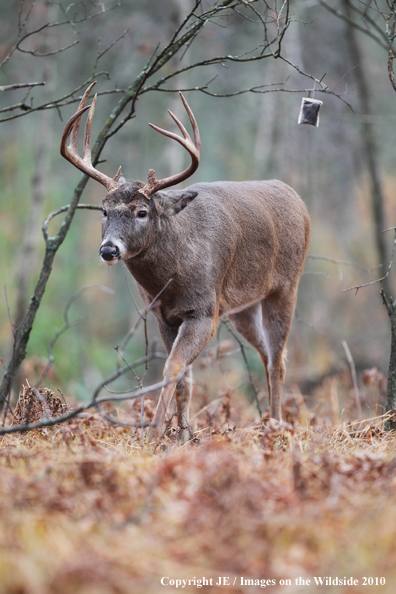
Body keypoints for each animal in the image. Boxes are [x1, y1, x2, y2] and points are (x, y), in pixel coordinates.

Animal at [61, 82, 310, 440]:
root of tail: (296, 199)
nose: (109, 250)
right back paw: (267, 423)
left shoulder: (204, 311)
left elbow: (173, 367)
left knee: (279, 356)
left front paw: (153, 434)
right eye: (104, 211)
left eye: (142, 212)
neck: (175, 277)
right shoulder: (163, 315)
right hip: (243, 307)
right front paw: (182, 433)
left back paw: (276, 425)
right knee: (265, 352)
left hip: (286, 287)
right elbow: (185, 377)